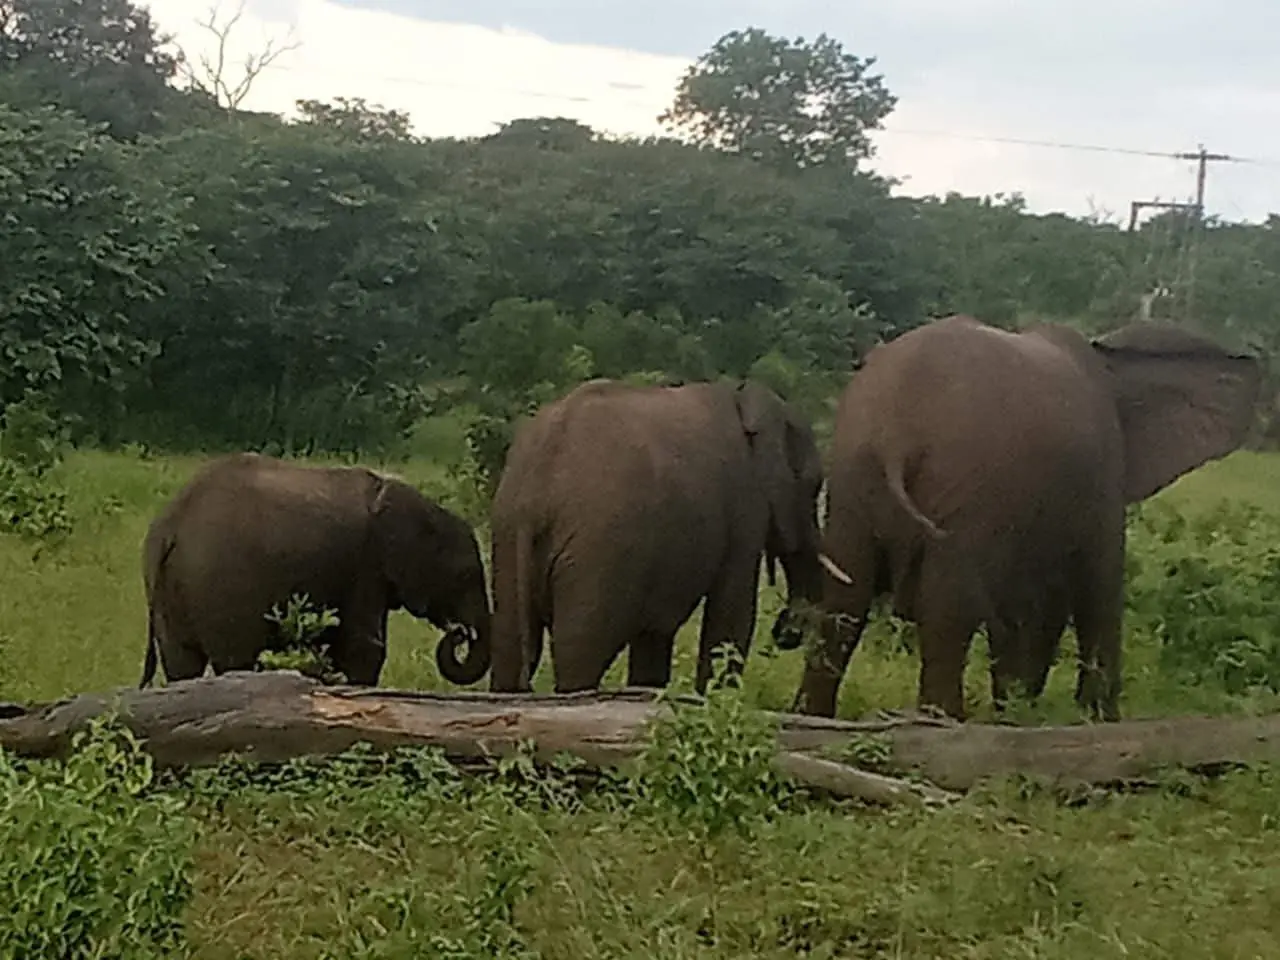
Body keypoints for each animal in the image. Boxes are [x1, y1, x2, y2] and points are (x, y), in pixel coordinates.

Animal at [139, 452, 492, 688]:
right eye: (464, 576)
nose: (460, 632)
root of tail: (173, 526)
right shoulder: (366, 566)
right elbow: (365, 649)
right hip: (220, 584)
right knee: (235, 659)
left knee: (183, 665)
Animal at [487, 378, 852, 694]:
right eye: (815, 484)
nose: (783, 631)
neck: (745, 398)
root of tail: (538, 482)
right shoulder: (744, 506)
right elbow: (732, 617)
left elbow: (655, 635)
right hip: (597, 552)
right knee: (578, 652)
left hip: (508, 534)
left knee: (510, 646)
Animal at [788, 314, 1262, 722]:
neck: (1112, 361)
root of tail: (895, 432)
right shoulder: (1101, 480)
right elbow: (1097, 590)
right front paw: (1091, 722)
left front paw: (1015, 712)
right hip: (965, 475)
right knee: (947, 608)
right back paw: (941, 722)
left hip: (854, 466)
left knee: (845, 599)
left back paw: (813, 719)